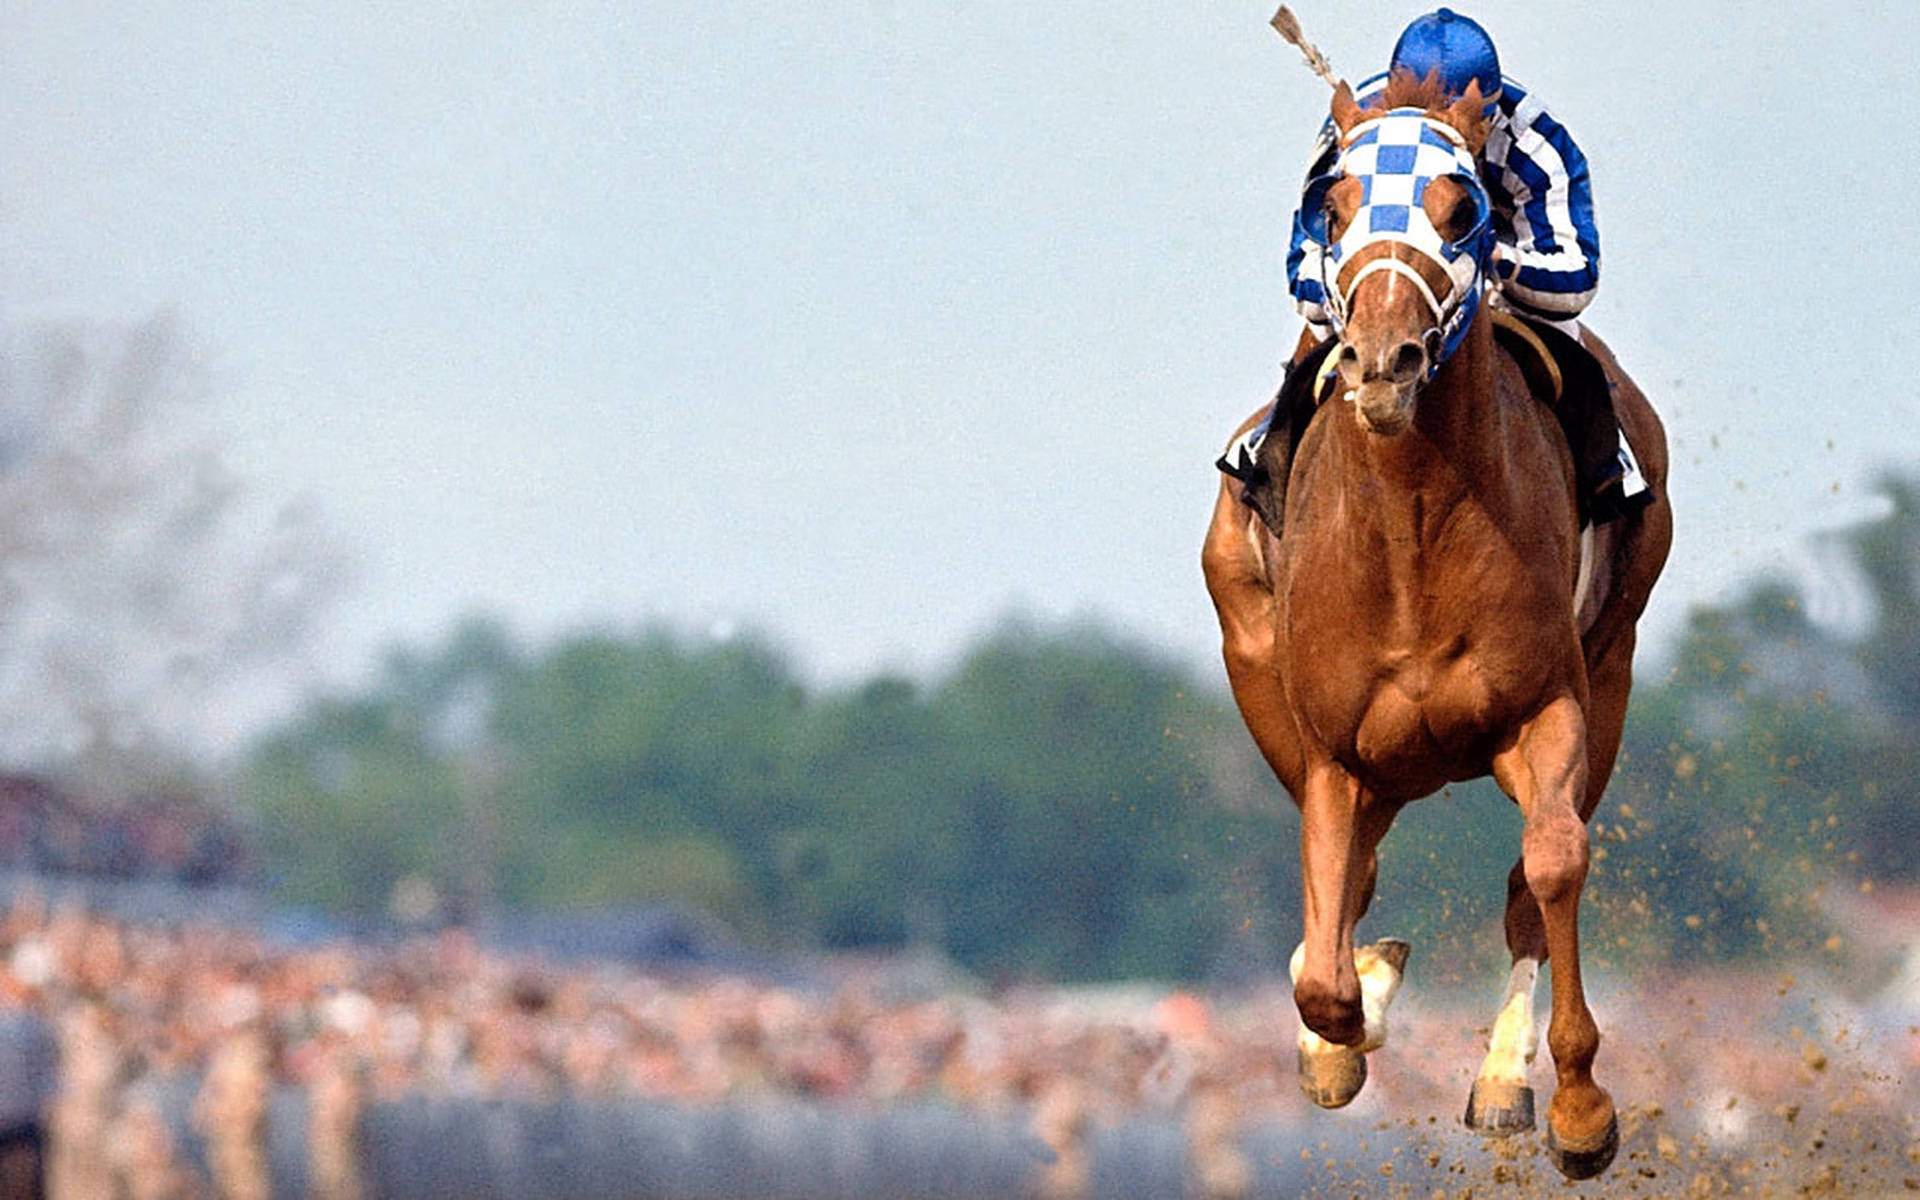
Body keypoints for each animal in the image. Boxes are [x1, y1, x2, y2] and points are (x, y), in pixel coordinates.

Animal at [1201, 72, 1671, 1180]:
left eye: (1464, 212)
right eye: (1333, 210)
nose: (1383, 363)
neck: (1413, 529)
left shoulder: (1547, 706)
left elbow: (1551, 864)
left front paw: (1574, 1106)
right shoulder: (1334, 751)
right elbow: (1324, 968)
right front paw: (1344, 1032)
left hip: (1613, 668)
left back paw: (1503, 1077)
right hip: (1258, 663)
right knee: (1353, 881)